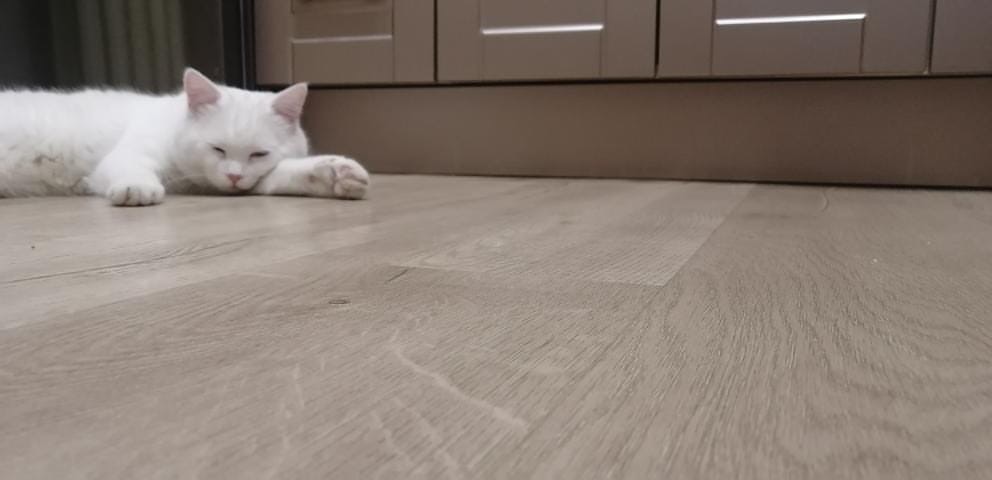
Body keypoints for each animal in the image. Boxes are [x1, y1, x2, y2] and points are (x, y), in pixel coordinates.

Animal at [0, 68, 369, 206]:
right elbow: (130, 168)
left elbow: (283, 175)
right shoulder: (128, 155)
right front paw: (138, 189)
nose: (234, 177)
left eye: (258, 154)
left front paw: (335, 175)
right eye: (217, 148)